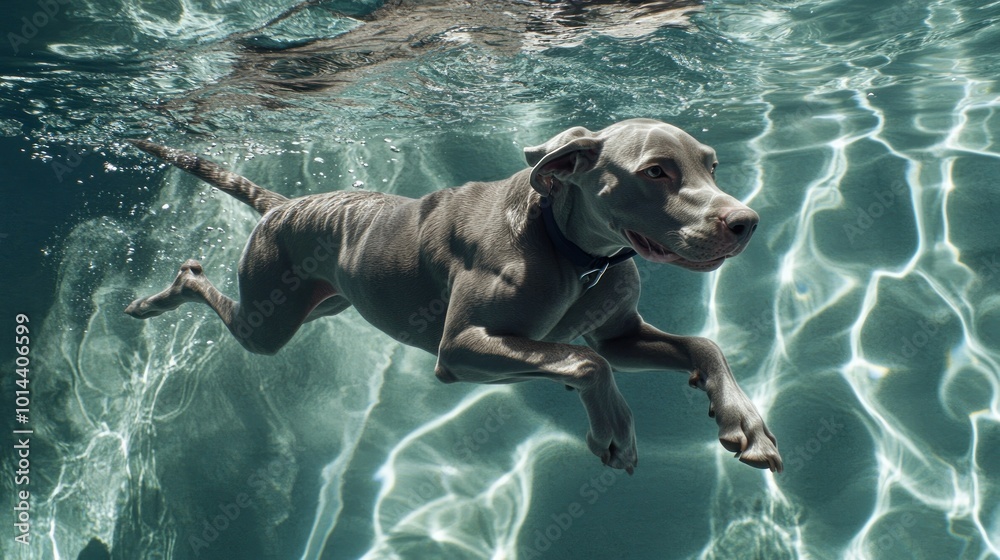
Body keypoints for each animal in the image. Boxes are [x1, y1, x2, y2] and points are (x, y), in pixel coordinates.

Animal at [125, 118, 780, 472]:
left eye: (712, 166)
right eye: (656, 171)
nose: (747, 221)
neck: (573, 250)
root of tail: (285, 204)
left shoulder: (620, 336)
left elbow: (702, 346)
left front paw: (744, 421)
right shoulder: (461, 349)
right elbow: (585, 361)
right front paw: (614, 428)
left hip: (323, 303)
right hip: (267, 325)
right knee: (202, 289)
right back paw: (159, 296)